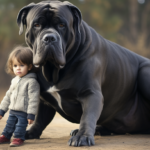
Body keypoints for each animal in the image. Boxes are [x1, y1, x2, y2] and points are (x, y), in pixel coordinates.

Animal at [16, 0, 150, 147]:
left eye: (62, 25)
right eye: (37, 25)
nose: (49, 38)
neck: (53, 70)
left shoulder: (90, 93)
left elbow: (87, 116)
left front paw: (82, 136)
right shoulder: (42, 97)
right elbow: (40, 118)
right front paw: (30, 132)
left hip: (145, 73)